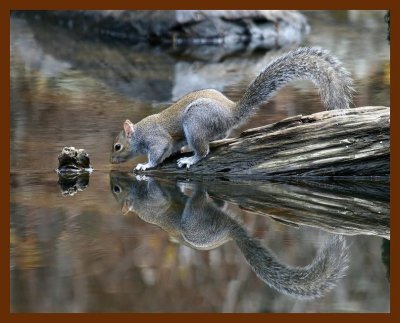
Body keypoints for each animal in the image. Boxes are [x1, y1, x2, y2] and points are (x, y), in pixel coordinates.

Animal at [110, 47, 354, 172]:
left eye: (117, 146)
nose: (111, 162)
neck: (140, 133)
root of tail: (230, 112)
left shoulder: (156, 139)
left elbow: (159, 151)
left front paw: (145, 165)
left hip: (195, 122)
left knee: (204, 151)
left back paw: (191, 159)